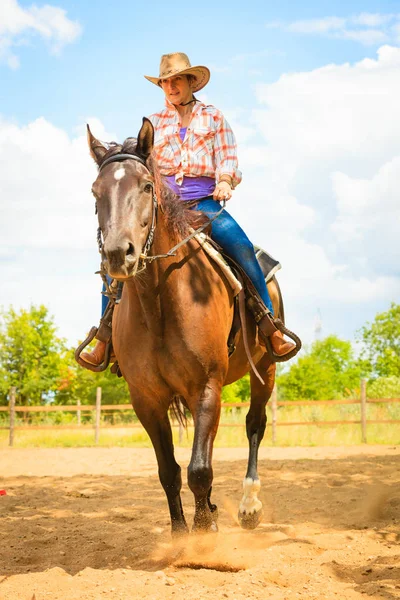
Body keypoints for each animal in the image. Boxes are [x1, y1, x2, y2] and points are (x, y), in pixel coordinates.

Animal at [85, 117, 284, 536]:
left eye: (146, 186)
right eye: (96, 191)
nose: (118, 254)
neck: (160, 304)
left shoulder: (206, 385)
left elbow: (199, 470)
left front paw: (204, 532)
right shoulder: (146, 399)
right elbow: (170, 472)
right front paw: (182, 534)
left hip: (266, 368)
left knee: (254, 425)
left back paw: (249, 505)